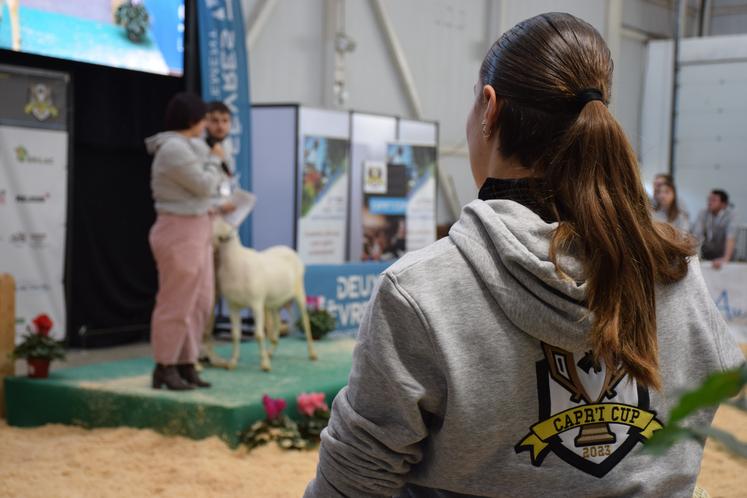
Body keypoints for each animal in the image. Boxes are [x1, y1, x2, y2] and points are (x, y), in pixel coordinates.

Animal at [210, 220, 318, 372]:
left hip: (299, 292)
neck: (236, 262)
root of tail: (289, 250)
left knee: (306, 321)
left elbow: (259, 335)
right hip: (276, 301)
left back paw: (312, 353)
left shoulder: (256, 303)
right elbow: (235, 335)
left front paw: (265, 364)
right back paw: (271, 351)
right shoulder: (233, 305)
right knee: (277, 323)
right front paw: (232, 362)